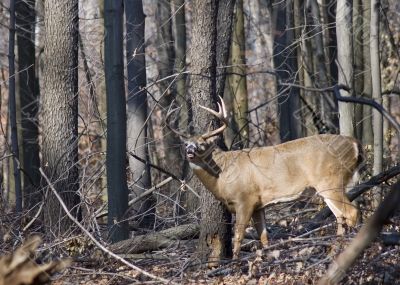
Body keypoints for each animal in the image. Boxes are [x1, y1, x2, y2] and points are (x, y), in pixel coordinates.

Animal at [166, 96, 362, 258]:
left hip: (331, 179)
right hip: (327, 186)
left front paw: (235, 261)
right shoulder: (259, 204)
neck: (222, 175)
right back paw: (333, 251)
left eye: (202, 144)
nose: (190, 151)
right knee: (340, 216)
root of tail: (354, 143)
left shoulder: (245, 199)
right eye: (186, 143)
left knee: (351, 211)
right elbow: (264, 236)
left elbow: (238, 235)